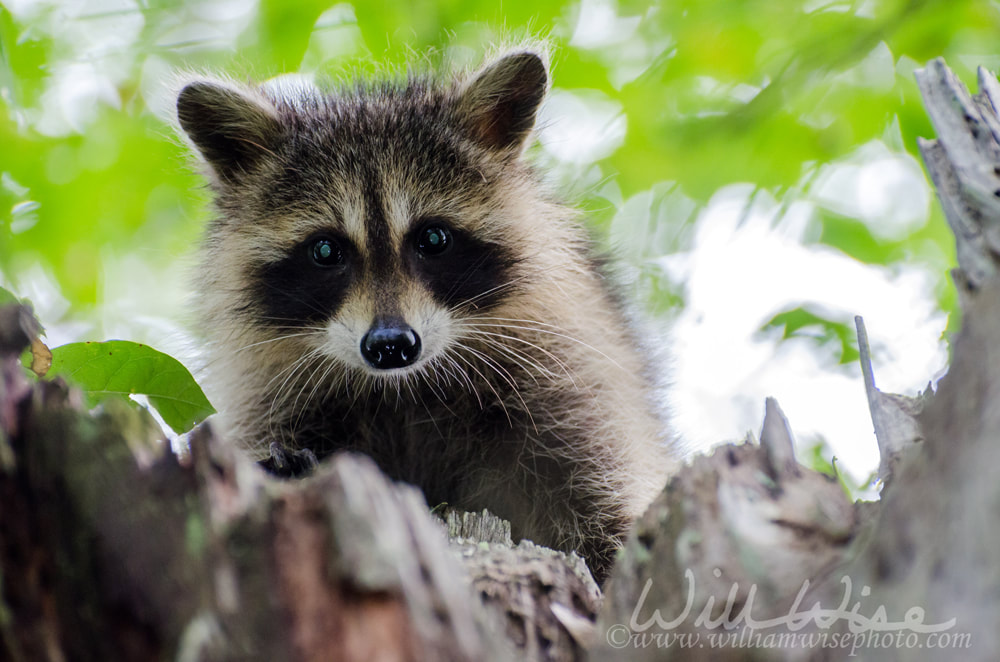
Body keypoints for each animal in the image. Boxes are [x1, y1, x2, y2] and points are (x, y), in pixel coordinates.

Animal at [176, 49, 680, 584]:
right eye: (326, 249)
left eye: (433, 238)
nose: (390, 345)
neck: (405, 389)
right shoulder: (271, 392)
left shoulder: (572, 383)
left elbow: (601, 500)